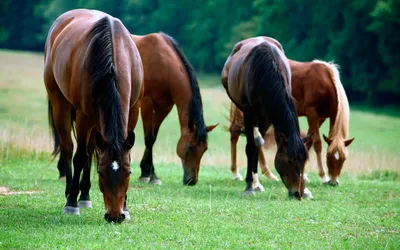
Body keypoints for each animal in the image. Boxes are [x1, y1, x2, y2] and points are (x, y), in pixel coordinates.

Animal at [45, 8, 144, 223]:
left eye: (128, 172)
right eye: (101, 172)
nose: (115, 216)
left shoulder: (133, 111)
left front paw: (126, 207)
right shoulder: (83, 116)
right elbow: (80, 157)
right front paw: (71, 203)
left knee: (91, 149)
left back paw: (85, 196)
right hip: (60, 103)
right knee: (68, 148)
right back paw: (71, 193)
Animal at [130, 32, 219, 186]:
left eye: (205, 149)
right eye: (190, 147)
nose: (191, 181)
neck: (163, 64)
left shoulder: (164, 107)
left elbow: (154, 138)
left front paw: (149, 173)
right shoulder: (147, 104)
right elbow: (149, 139)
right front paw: (148, 175)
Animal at [222, 36, 312, 198]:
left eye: (305, 161)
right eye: (289, 161)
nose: (297, 193)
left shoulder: (268, 115)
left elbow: (257, 147)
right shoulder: (249, 112)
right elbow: (250, 147)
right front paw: (249, 186)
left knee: (258, 143)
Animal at [228, 37, 356, 186]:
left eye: (343, 159)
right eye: (329, 156)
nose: (334, 182)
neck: (326, 83)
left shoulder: (322, 117)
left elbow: (308, 142)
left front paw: (304, 175)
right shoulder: (312, 113)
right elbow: (317, 143)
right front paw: (323, 176)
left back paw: (267, 173)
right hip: (244, 111)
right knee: (236, 133)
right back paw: (237, 173)